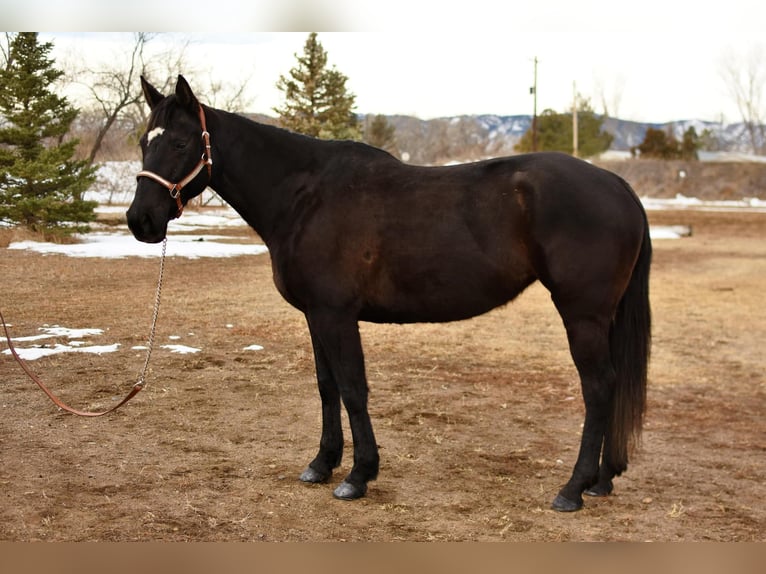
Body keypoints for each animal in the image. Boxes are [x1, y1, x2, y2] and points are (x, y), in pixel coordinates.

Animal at [127, 75, 651, 512]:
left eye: (180, 142)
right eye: (143, 142)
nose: (141, 221)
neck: (305, 196)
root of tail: (619, 185)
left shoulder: (337, 315)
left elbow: (353, 388)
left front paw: (358, 476)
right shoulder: (316, 315)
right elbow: (327, 386)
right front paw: (322, 464)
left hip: (582, 314)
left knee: (598, 386)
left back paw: (573, 489)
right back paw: (602, 480)